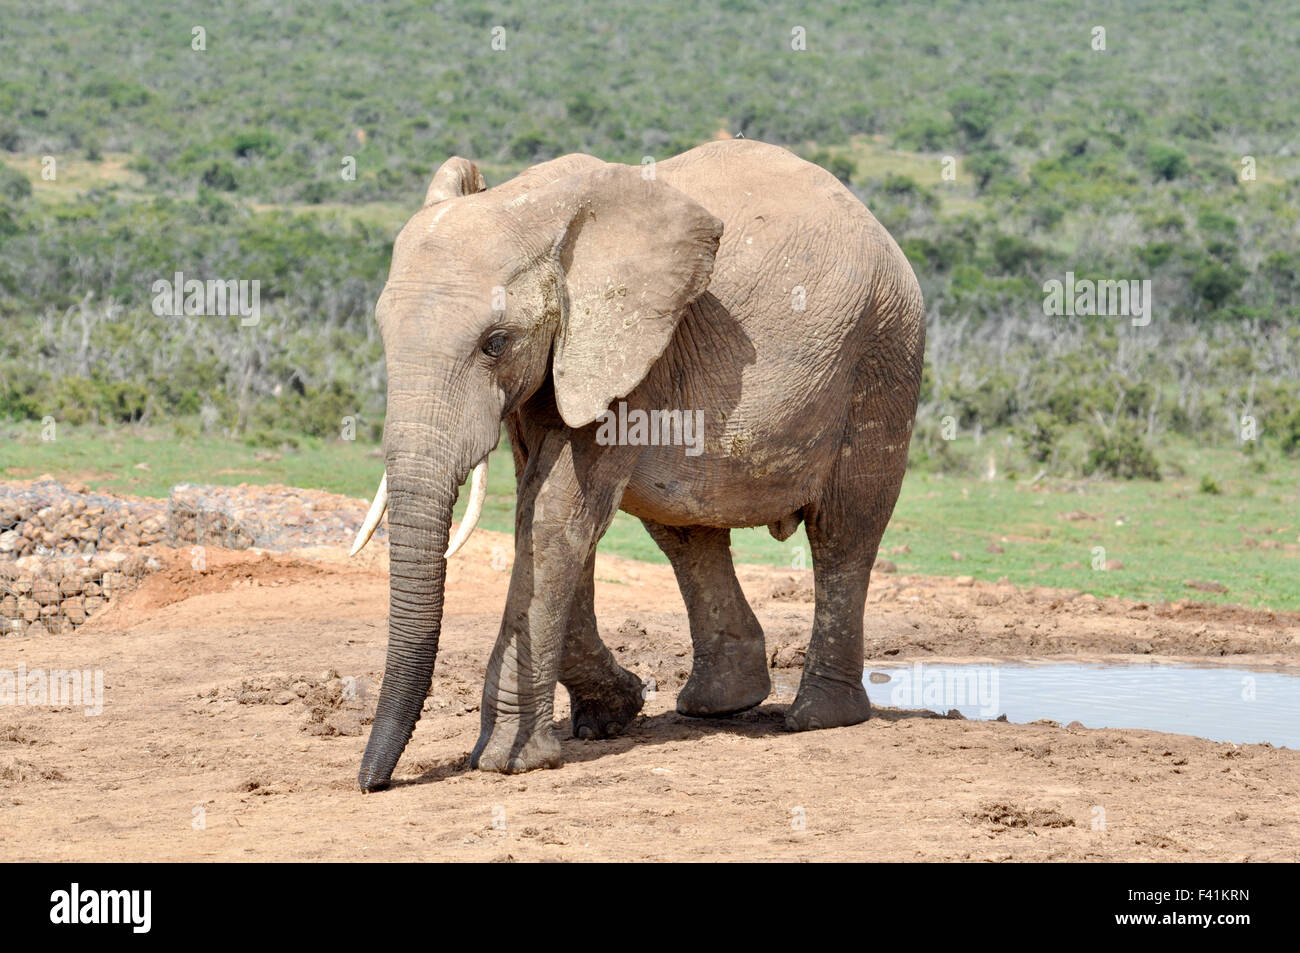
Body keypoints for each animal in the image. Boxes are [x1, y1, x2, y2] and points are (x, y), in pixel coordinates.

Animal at [350, 138, 925, 791]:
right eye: (383, 335)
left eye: (495, 343)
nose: (371, 784)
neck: (536, 210)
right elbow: (540, 506)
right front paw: (610, 715)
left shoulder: (634, 353)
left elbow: (554, 517)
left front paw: (506, 762)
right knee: (686, 533)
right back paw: (718, 706)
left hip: (884, 351)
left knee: (844, 531)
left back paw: (819, 718)